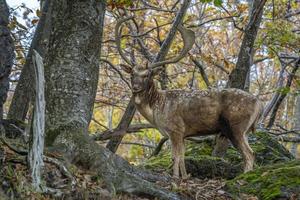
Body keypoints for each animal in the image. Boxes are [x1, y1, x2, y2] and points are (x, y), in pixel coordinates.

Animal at [115, 16, 262, 178]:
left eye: (147, 75)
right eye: (131, 74)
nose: (135, 87)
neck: (156, 109)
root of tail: (259, 104)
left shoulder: (176, 129)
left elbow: (175, 156)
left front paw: (174, 177)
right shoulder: (184, 134)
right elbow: (182, 156)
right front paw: (185, 176)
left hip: (237, 126)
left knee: (249, 154)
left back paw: (243, 177)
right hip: (245, 130)